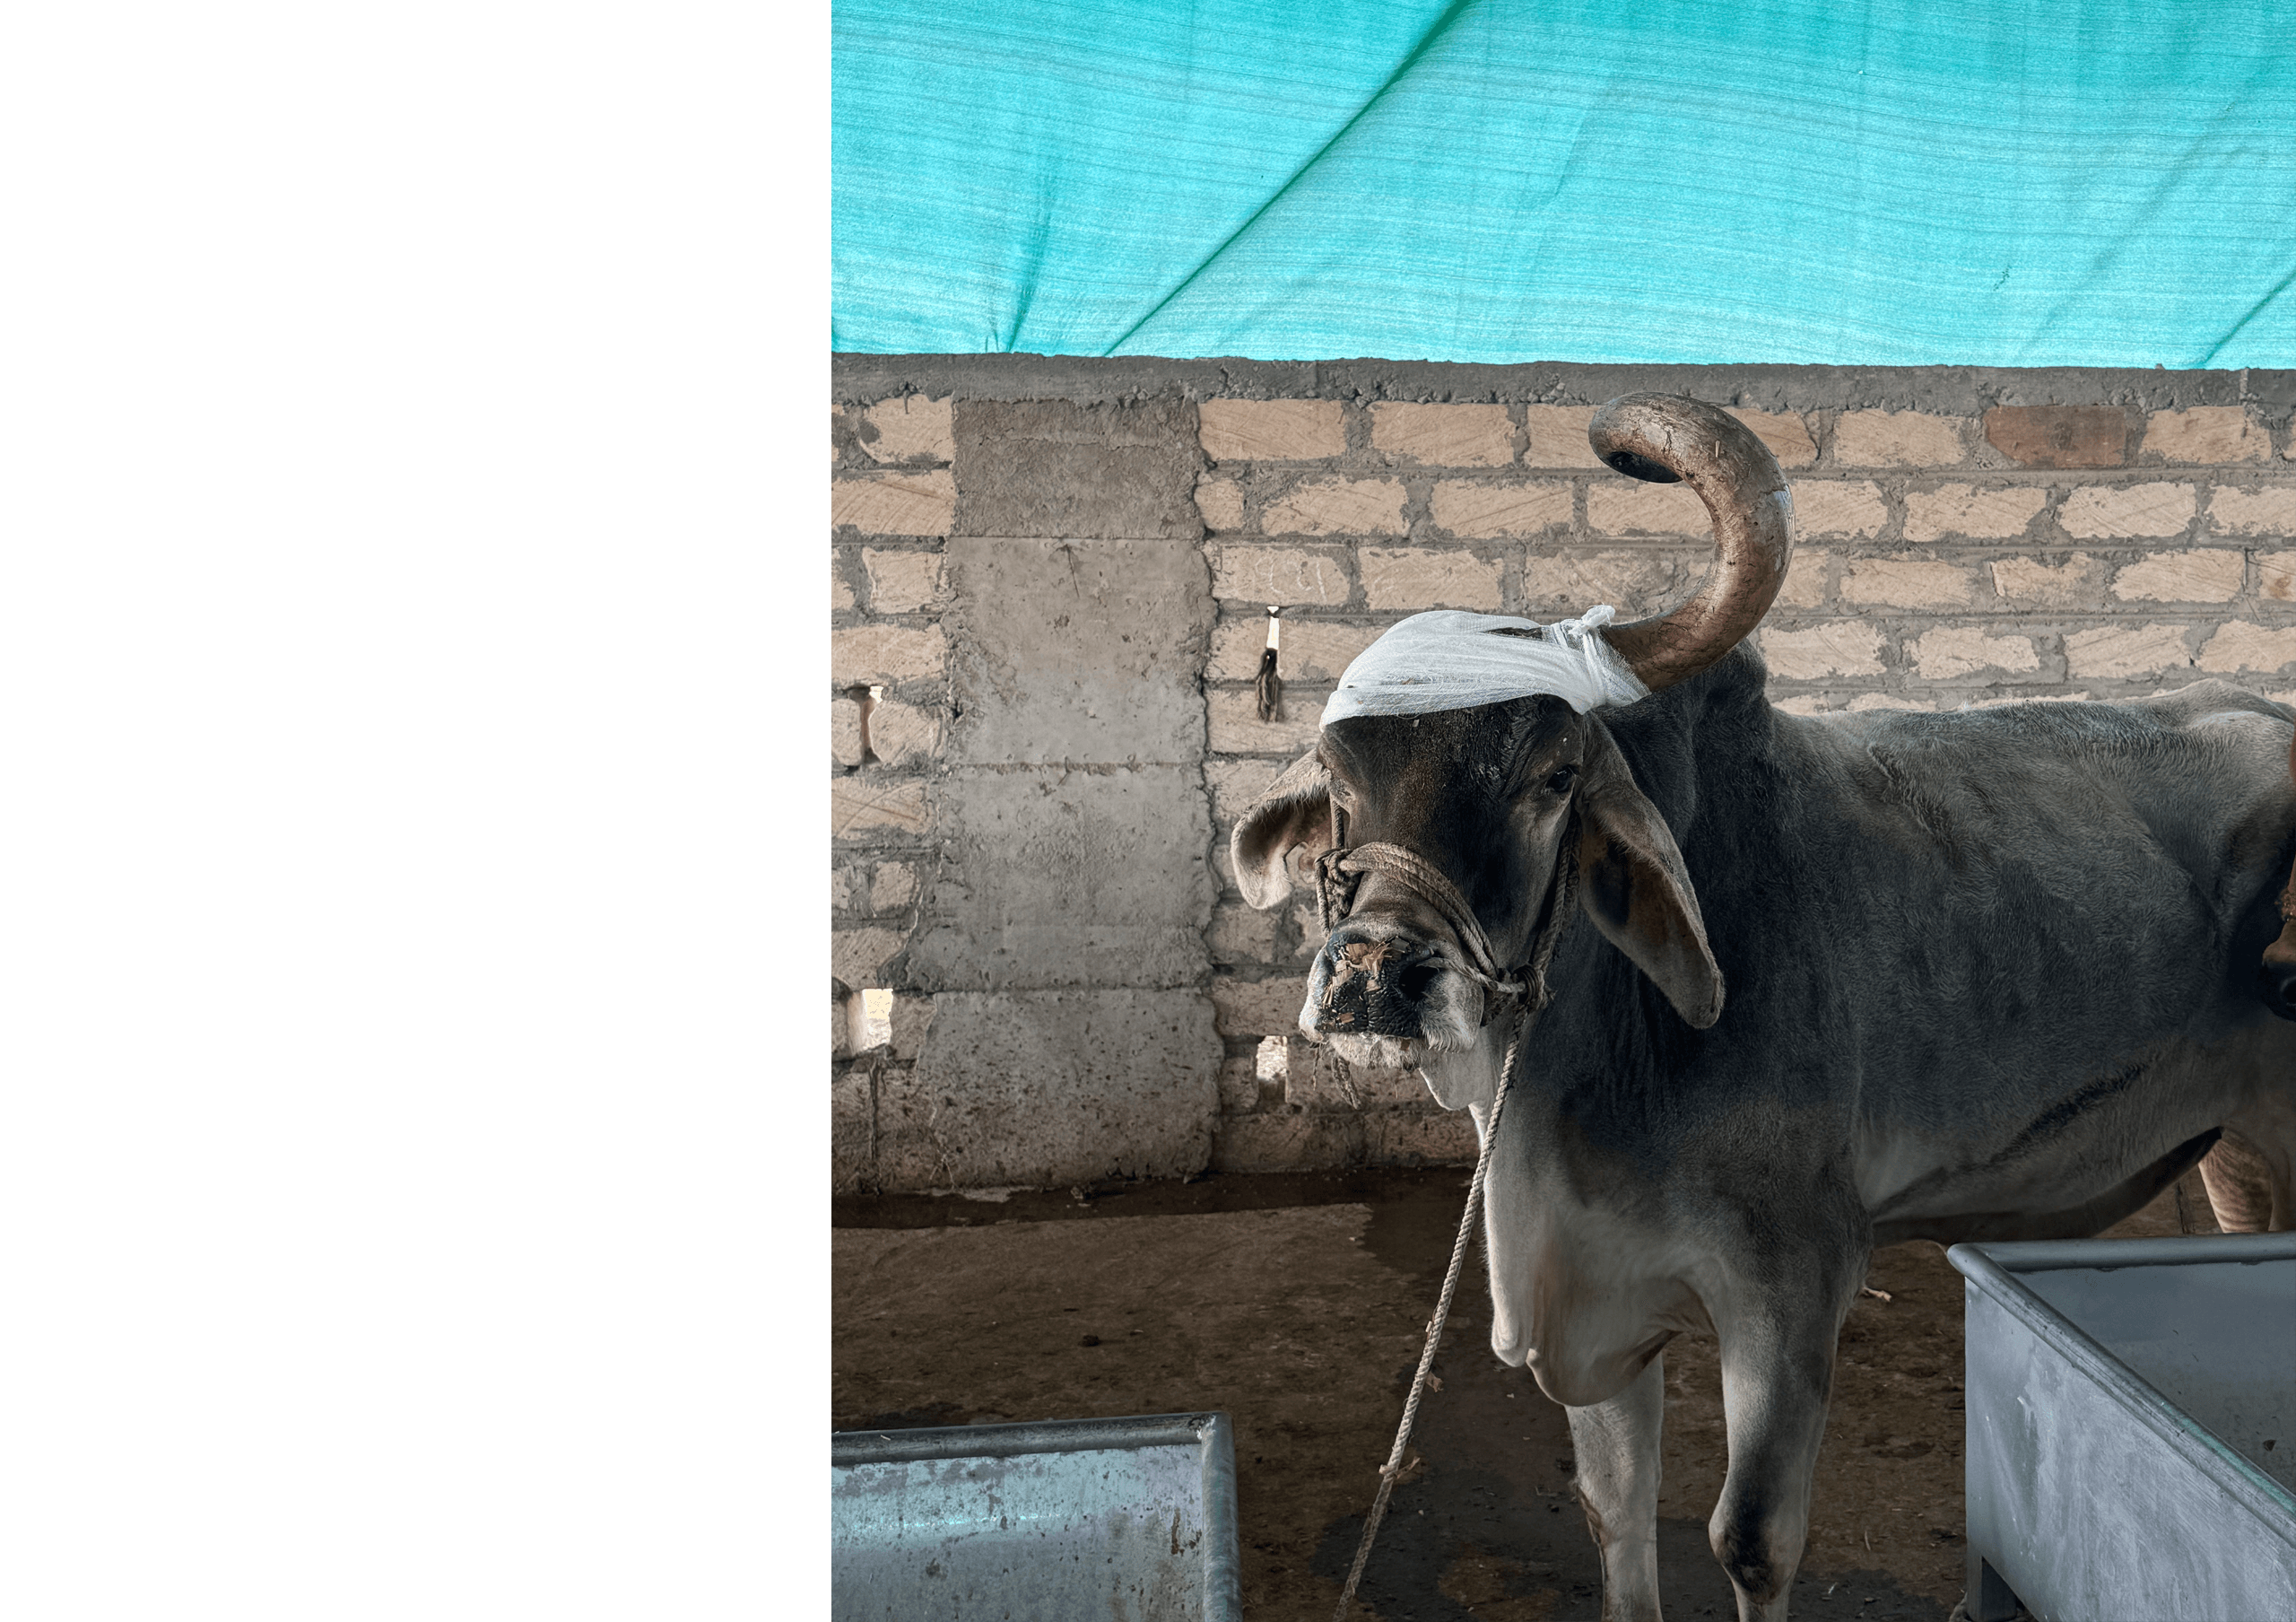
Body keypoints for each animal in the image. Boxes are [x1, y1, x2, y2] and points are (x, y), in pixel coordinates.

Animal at [1226, 394, 2296, 1622]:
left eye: (1553, 775)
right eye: (1335, 775)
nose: (1373, 973)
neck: (1576, 1086)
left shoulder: (1793, 1282)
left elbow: (1748, 1538)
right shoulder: (1599, 1304)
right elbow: (1614, 1513)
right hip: (2235, 1152)